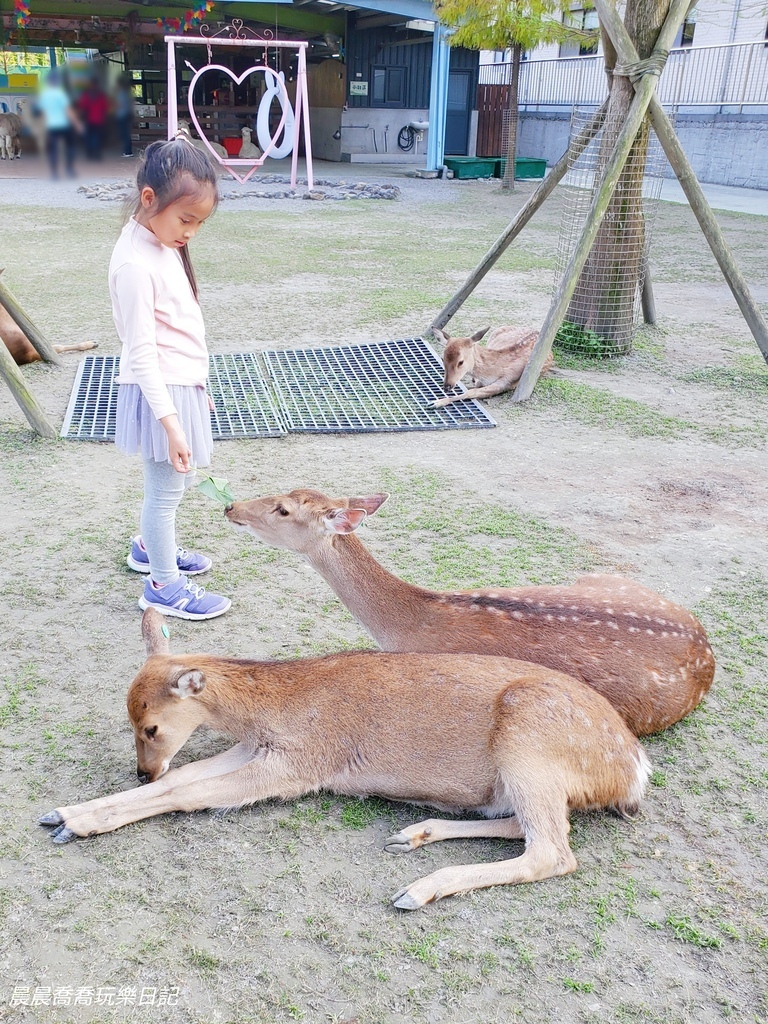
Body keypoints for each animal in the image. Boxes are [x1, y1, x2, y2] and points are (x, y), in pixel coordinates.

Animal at [39, 610, 651, 909]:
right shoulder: (258, 746)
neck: (273, 710)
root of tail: (633, 770)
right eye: (129, 720)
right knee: (526, 827)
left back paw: (420, 889)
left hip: (531, 743)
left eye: (151, 726)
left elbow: (188, 793)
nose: (143, 768)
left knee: (554, 851)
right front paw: (62, 812)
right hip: (518, 780)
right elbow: (186, 775)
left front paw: (76, 822)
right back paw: (415, 834)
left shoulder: (299, 765)